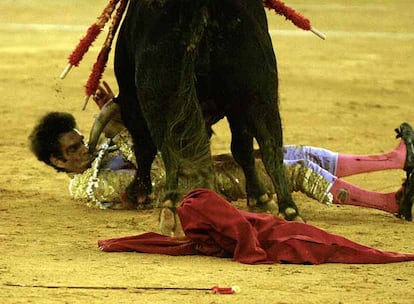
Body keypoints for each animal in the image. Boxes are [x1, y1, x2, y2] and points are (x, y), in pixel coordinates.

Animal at [113, 0, 300, 218]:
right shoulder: (236, 106)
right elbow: (242, 147)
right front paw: (260, 197)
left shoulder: (131, 100)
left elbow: (144, 147)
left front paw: (138, 193)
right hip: (259, 91)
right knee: (271, 145)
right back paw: (288, 209)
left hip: (159, 94)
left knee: (168, 147)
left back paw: (171, 203)